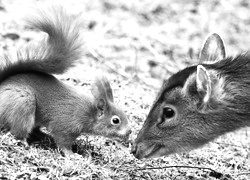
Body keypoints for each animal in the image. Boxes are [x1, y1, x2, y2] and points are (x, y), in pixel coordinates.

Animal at [0, 6, 132, 154]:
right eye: (115, 120)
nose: (130, 131)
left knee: (34, 130)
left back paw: (43, 136)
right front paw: (71, 154)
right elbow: (63, 141)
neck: (89, 112)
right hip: (22, 105)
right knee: (19, 130)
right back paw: (23, 141)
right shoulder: (65, 125)